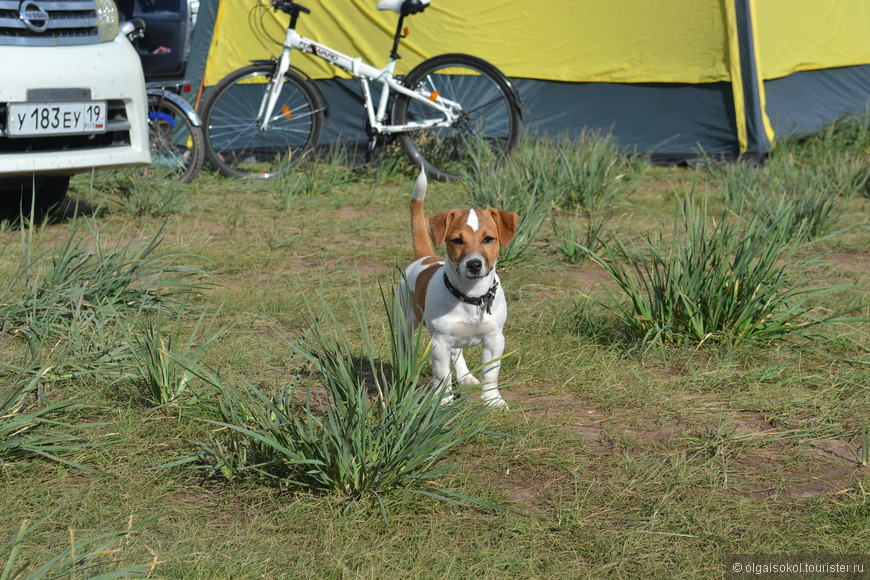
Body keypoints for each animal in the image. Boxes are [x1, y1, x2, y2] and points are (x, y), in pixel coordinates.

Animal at [400, 170, 516, 408]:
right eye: (457, 240)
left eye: (488, 238)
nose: (474, 264)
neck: (472, 296)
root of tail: (425, 256)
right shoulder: (439, 343)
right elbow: (442, 375)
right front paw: (443, 402)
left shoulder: (495, 339)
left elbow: (491, 373)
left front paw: (492, 400)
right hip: (407, 318)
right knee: (405, 342)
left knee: (457, 354)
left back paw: (465, 376)